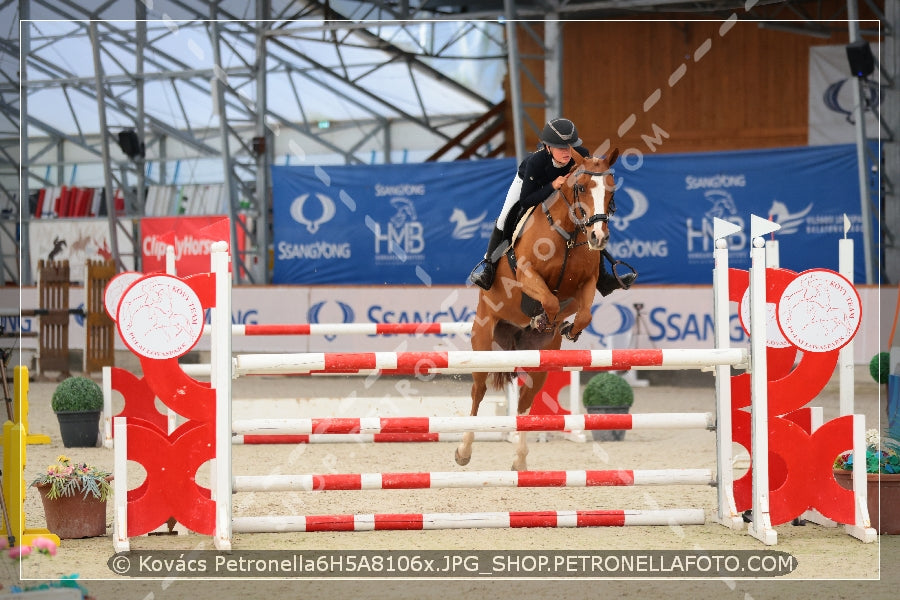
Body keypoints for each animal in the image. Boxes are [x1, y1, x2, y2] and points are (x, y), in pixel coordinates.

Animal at [458, 148, 620, 472]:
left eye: (611, 189)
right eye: (581, 187)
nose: (598, 237)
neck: (568, 234)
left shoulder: (587, 284)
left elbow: (583, 313)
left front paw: (566, 327)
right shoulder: (526, 274)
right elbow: (549, 299)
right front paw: (541, 315)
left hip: (541, 361)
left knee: (524, 401)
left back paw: (520, 460)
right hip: (483, 341)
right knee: (478, 393)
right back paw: (463, 451)